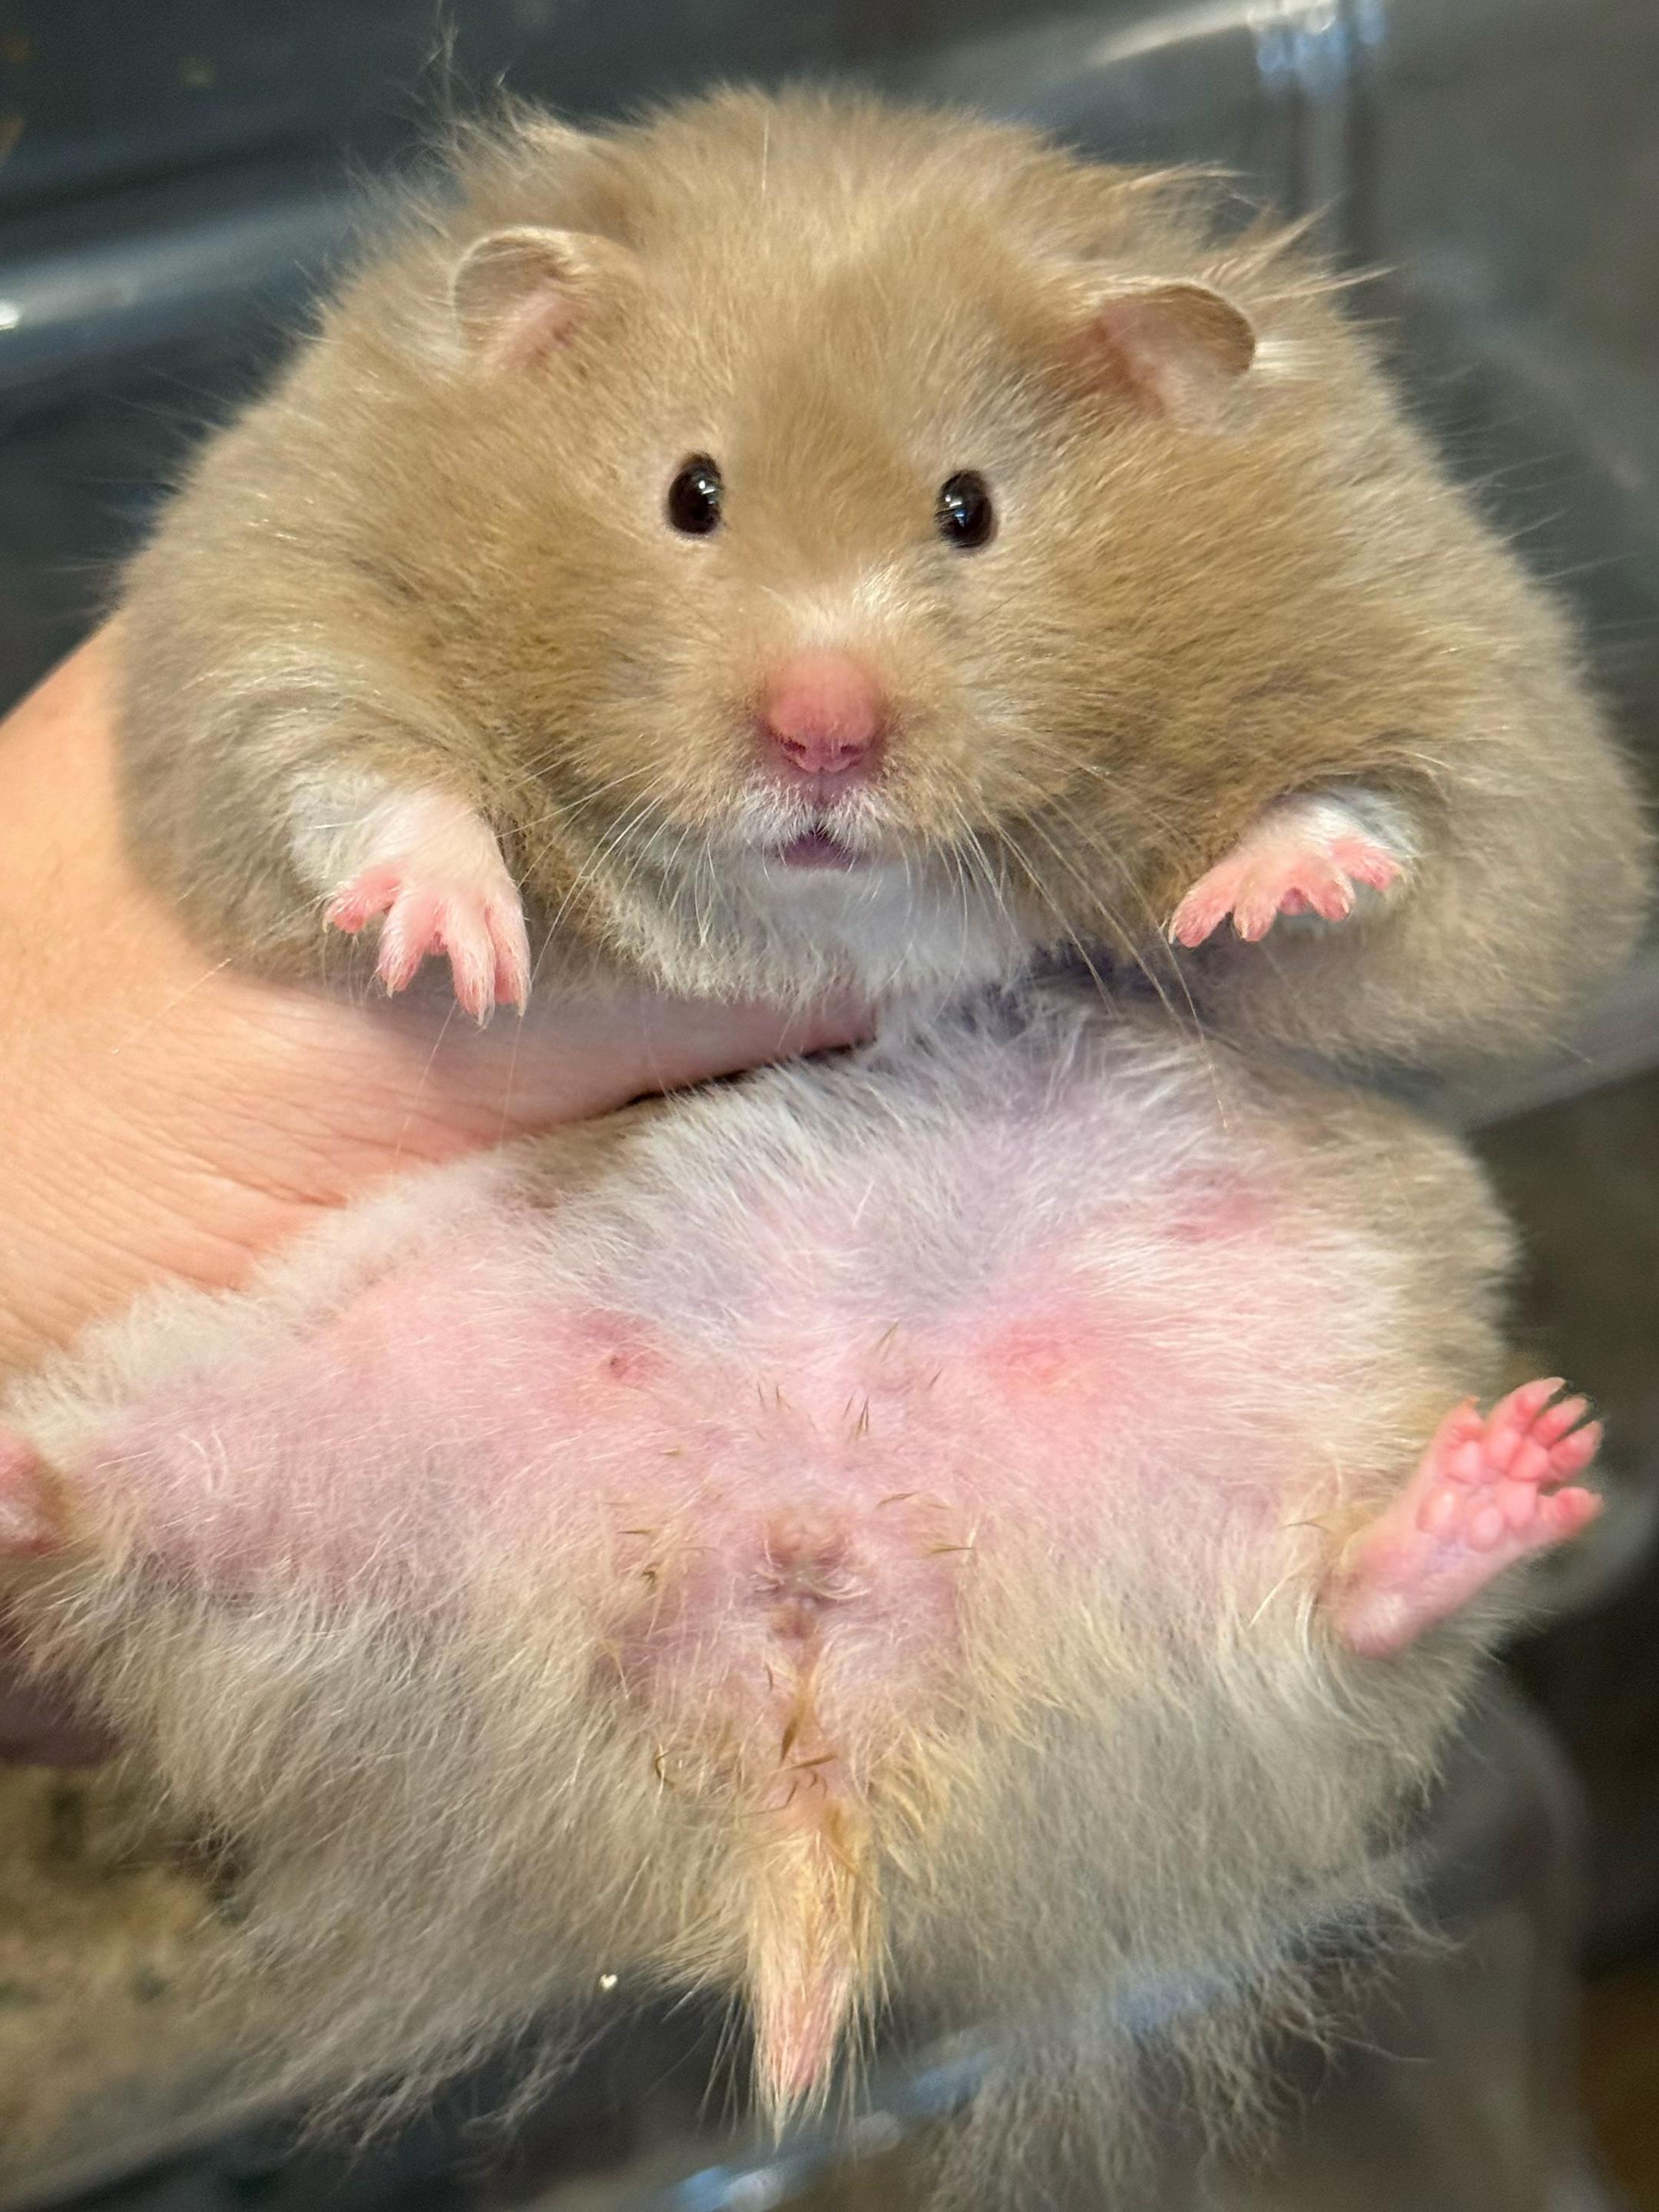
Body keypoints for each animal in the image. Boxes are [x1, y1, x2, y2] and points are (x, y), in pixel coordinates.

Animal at [115, 87, 1648, 1072]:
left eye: (970, 510)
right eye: (691, 495)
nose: (823, 738)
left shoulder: (1435, 632)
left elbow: (1402, 820)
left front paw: (1268, 887)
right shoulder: (276, 564)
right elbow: (345, 757)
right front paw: (462, 951)